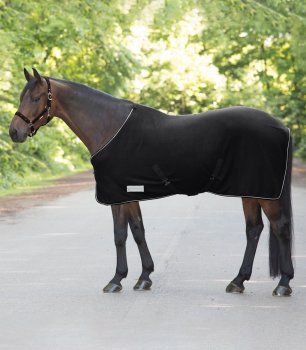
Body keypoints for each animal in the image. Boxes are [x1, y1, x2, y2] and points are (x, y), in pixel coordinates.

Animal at [8, 68, 292, 296]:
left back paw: (283, 284)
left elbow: (120, 235)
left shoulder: (117, 194)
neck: (109, 127)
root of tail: (281, 126)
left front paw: (116, 280)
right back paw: (238, 281)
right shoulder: (129, 194)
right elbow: (137, 231)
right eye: (22, 97)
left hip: (263, 193)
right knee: (254, 229)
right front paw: (144, 277)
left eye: (35, 98)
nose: (14, 132)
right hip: (251, 192)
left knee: (280, 227)